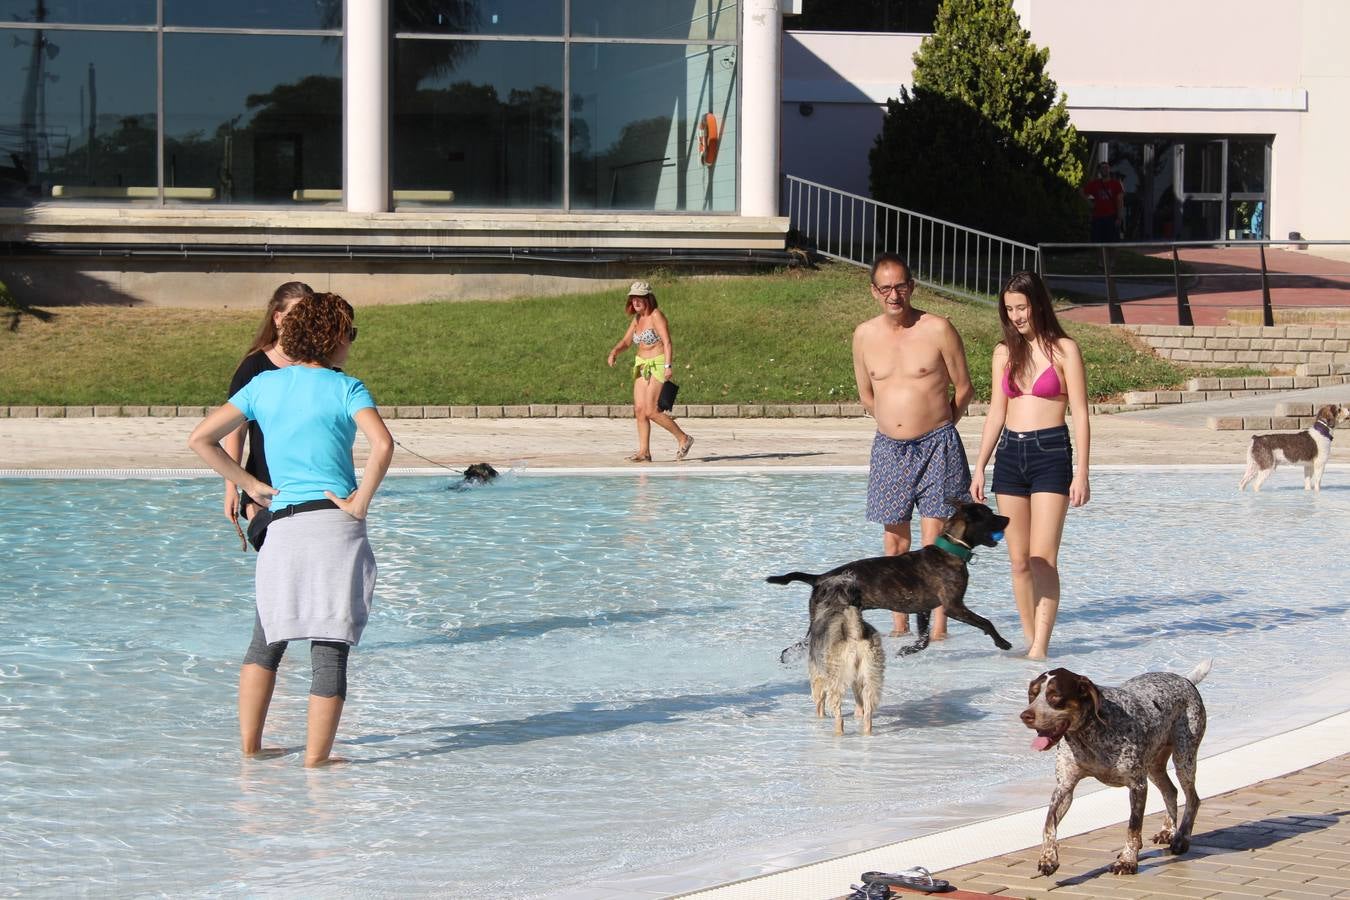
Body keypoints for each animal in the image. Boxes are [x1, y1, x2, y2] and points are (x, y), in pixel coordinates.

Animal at [772, 499, 1015, 661]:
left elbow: (924, 639)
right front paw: (1002, 642)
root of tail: (821, 577)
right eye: (990, 514)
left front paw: (908, 650)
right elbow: (986, 622)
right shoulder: (953, 606)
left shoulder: (923, 609)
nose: (1008, 518)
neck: (951, 549)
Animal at [1020, 658, 1215, 874]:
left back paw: (1182, 838)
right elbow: (1049, 824)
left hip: (1183, 758)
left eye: (1055, 696)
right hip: (1154, 766)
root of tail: (1186, 680)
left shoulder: (1138, 786)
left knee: (1193, 799)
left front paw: (1128, 860)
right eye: (1032, 694)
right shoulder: (1064, 788)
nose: (1025, 715)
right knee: (1170, 791)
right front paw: (1048, 857)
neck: (1089, 735)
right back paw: (1168, 831)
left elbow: (1133, 827)